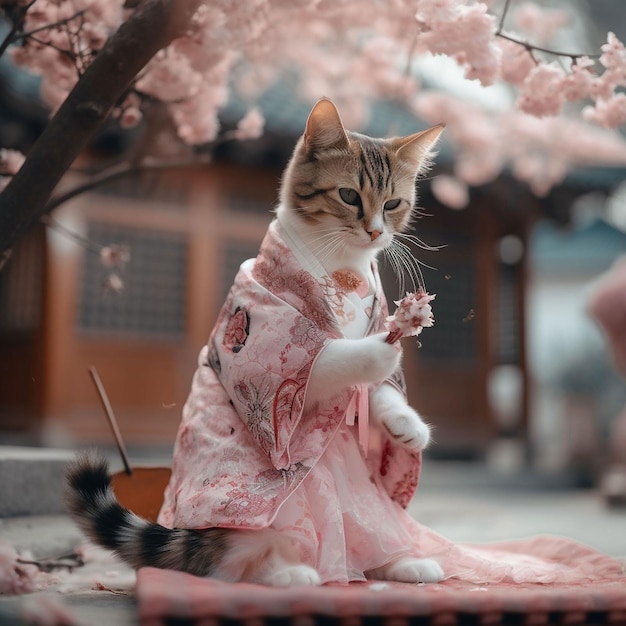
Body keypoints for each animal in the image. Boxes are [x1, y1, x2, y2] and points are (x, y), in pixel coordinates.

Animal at [64, 96, 444, 584]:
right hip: (243, 515)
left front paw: (406, 425)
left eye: (393, 203)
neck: (343, 266)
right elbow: (321, 364)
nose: (377, 231)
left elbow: (377, 396)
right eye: (349, 196)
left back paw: (400, 562)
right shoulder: (266, 325)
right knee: (232, 561)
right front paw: (381, 349)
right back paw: (287, 573)